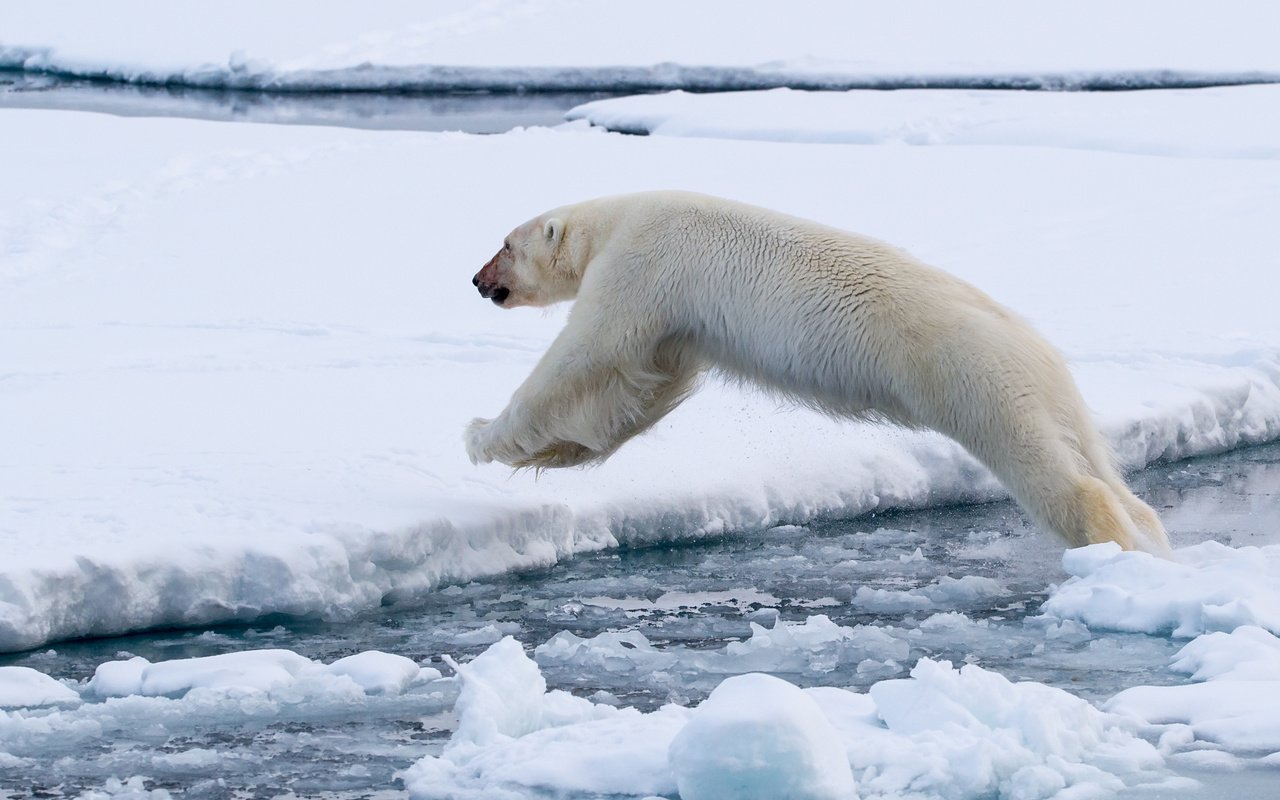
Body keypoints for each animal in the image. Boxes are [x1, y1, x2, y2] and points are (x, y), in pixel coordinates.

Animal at [468, 190, 1172, 552]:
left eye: (504, 244)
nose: (476, 280)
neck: (616, 220)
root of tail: (1034, 347)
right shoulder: (681, 327)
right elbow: (639, 388)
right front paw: (555, 452)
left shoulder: (641, 265)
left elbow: (588, 357)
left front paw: (481, 436)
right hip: (1049, 392)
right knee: (1092, 457)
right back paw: (1149, 536)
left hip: (971, 378)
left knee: (1045, 467)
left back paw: (1108, 543)